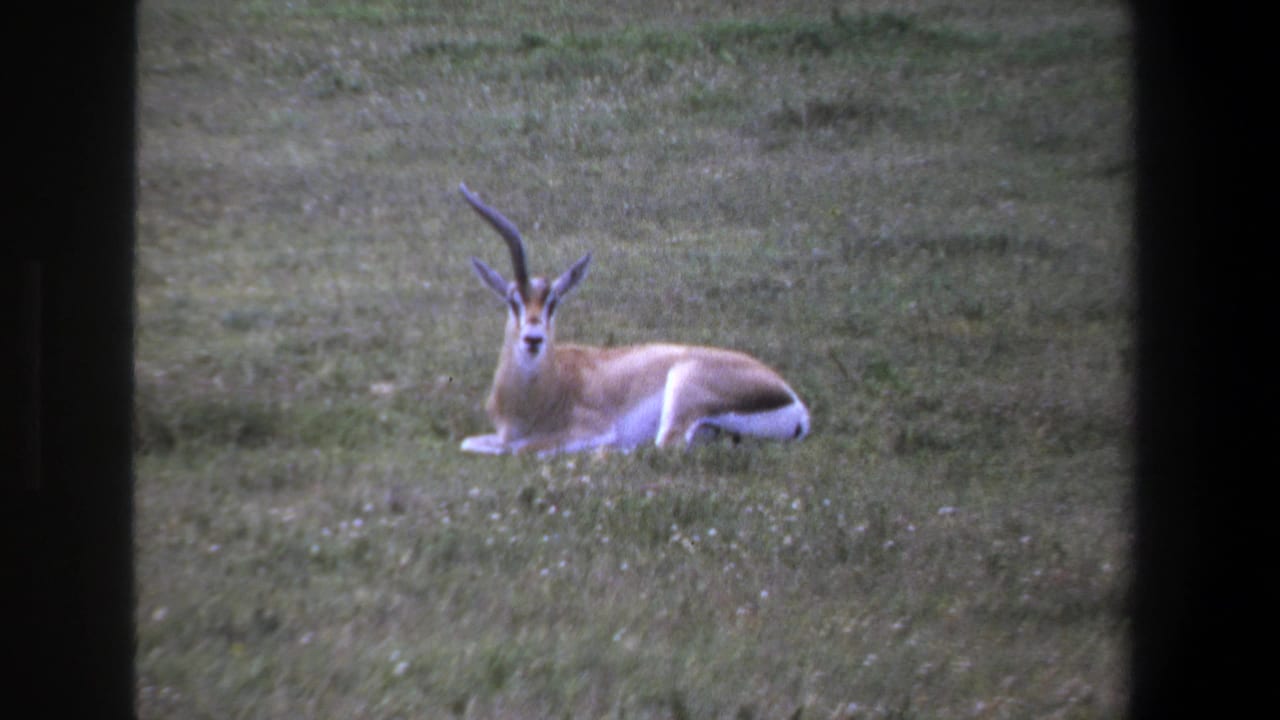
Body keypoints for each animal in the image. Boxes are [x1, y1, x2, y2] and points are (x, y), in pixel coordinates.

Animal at [458, 183, 810, 456]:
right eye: (512, 300)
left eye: (553, 302)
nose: (533, 338)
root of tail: (794, 402)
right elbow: (470, 443)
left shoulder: (592, 429)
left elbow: (520, 449)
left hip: (681, 389)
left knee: (663, 447)